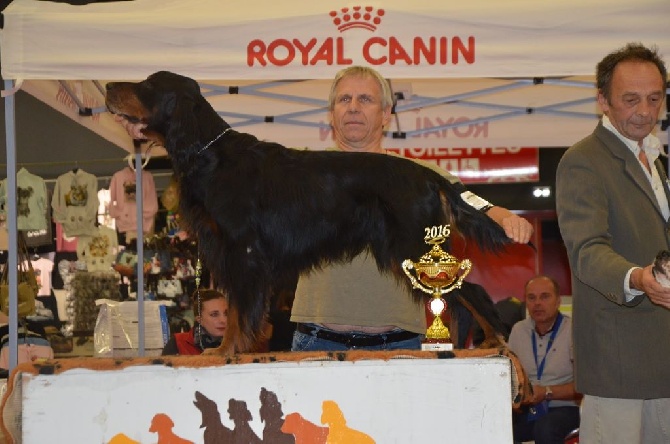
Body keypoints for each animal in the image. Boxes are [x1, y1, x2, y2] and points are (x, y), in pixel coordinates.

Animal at [107, 71, 512, 356]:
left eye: (147, 85)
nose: (109, 85)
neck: (210, 153)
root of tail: (428, 174)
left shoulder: (243, 249)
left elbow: (239, 310)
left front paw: (225, 349)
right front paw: (227, 347)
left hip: (416, 245)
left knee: (471, 292)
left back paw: (494, 340)